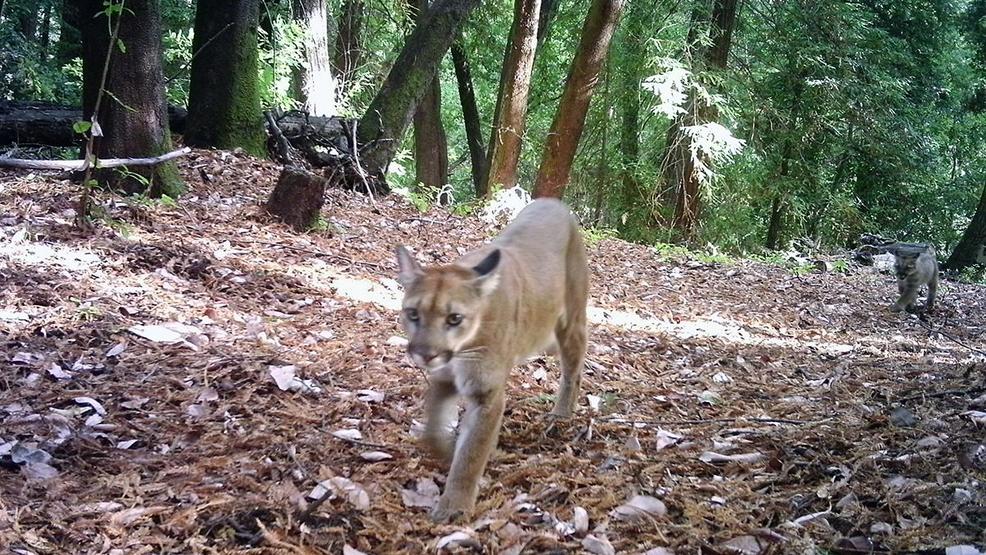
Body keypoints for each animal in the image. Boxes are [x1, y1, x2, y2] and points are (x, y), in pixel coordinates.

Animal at [394, 199, 592, 520]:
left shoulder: (485, 393)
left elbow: (471, 454)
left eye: (454, 318)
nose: (426, 353)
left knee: (572, 371)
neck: (464, 348)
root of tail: (553, 201)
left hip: (571, 321)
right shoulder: (444, 378)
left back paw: (561, 414)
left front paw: (454, 507)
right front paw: (446, 450)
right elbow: (434, 426)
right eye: (413, 314)